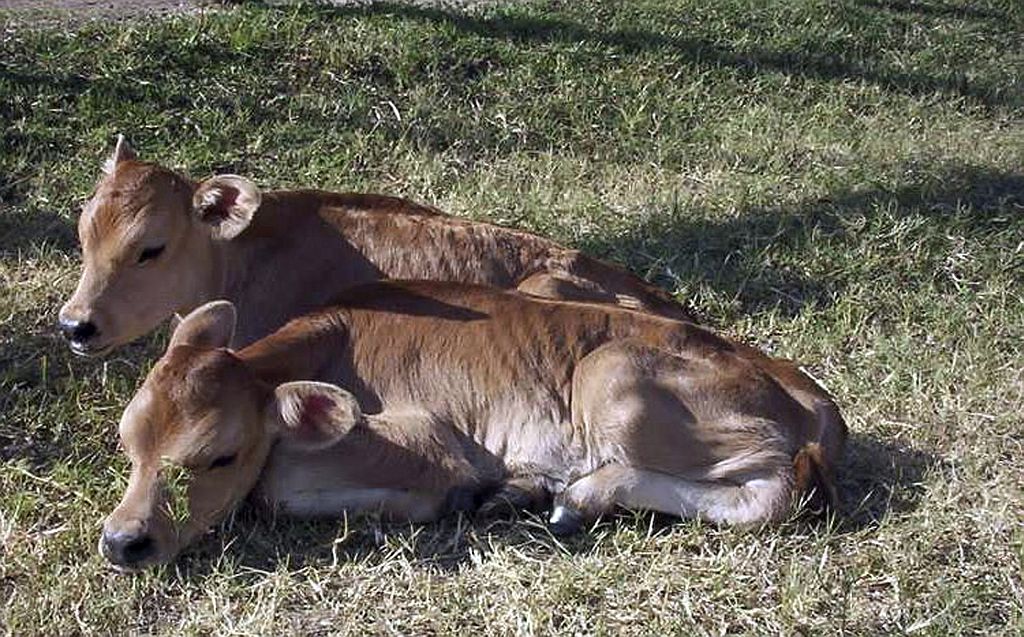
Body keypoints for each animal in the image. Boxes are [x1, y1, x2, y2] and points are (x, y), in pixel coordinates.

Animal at [99, 282, 845, 570]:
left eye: (220, 456)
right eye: (128, 445)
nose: (122, 542)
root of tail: (807, 389)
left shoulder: (436, 440)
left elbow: (275, 486)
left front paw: (458, 496)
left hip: (613, 380)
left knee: (778, 492)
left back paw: (576, 496)